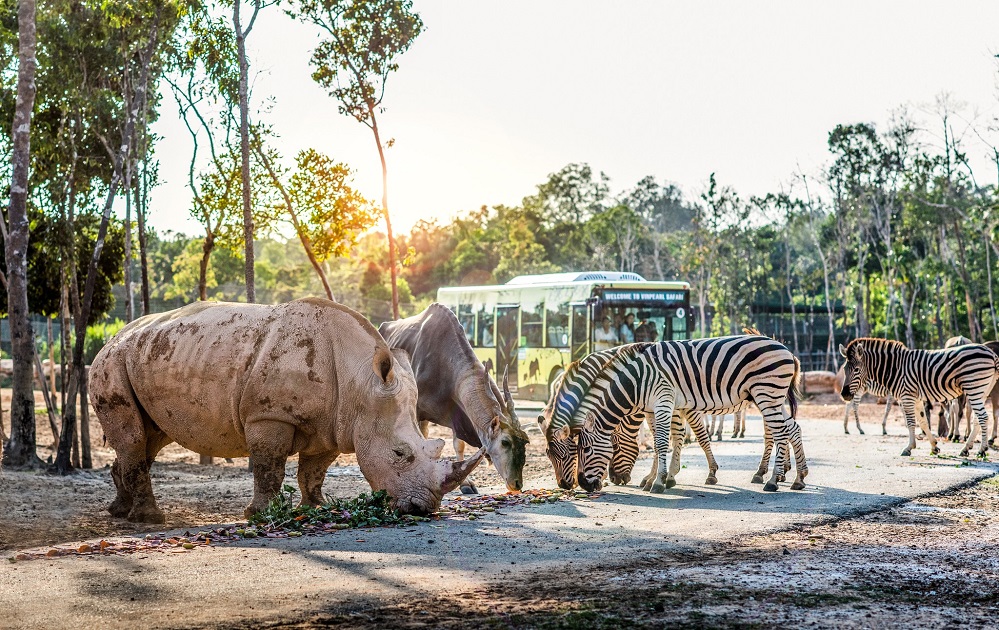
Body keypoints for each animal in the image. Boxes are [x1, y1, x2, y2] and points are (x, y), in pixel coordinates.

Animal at [561, 335, 806, 493]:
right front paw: (655, 479)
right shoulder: (653, 408)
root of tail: (787, 350)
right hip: (770, 397)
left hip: (767, 394)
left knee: (780, 433)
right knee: (792, 428)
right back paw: (798, 478)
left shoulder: (663, 401)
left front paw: (659, 483)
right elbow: (661, 443)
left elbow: (663, 442)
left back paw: (773, 480)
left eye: (586, 449)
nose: (583, 484)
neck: (637, 381)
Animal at [839, 338, 999, 458]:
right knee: (978, 418)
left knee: (983, 417)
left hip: (974, 388)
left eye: (856, 370)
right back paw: (966, 449)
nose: (844, 394)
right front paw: (934, 447)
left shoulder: (907, 396)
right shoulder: (915, 399)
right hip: (982, 390)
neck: (895, 368)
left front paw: (909, 448)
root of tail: (992, 354)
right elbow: (923, 421)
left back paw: (981, 450)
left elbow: (911, 422)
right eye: (845, 369)